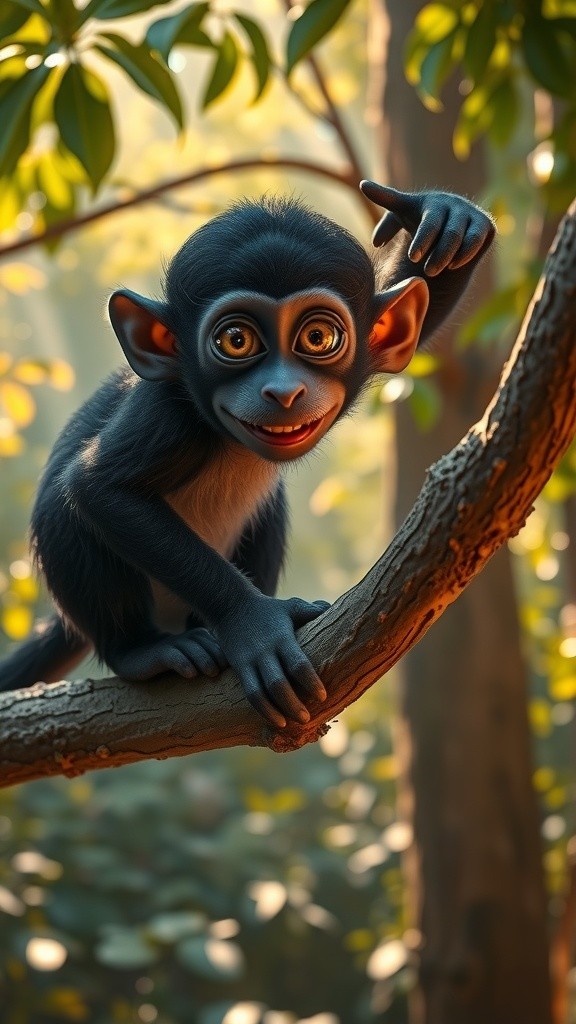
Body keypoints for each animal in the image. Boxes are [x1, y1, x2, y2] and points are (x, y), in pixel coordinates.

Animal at [0, 182, 495, 728]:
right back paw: (142, 652)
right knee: (65, 516)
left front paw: (447, 218)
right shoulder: (167, 416)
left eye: (318, 337)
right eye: (236, 341)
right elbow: (99, 486)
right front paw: (254, 622)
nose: (283, 391)